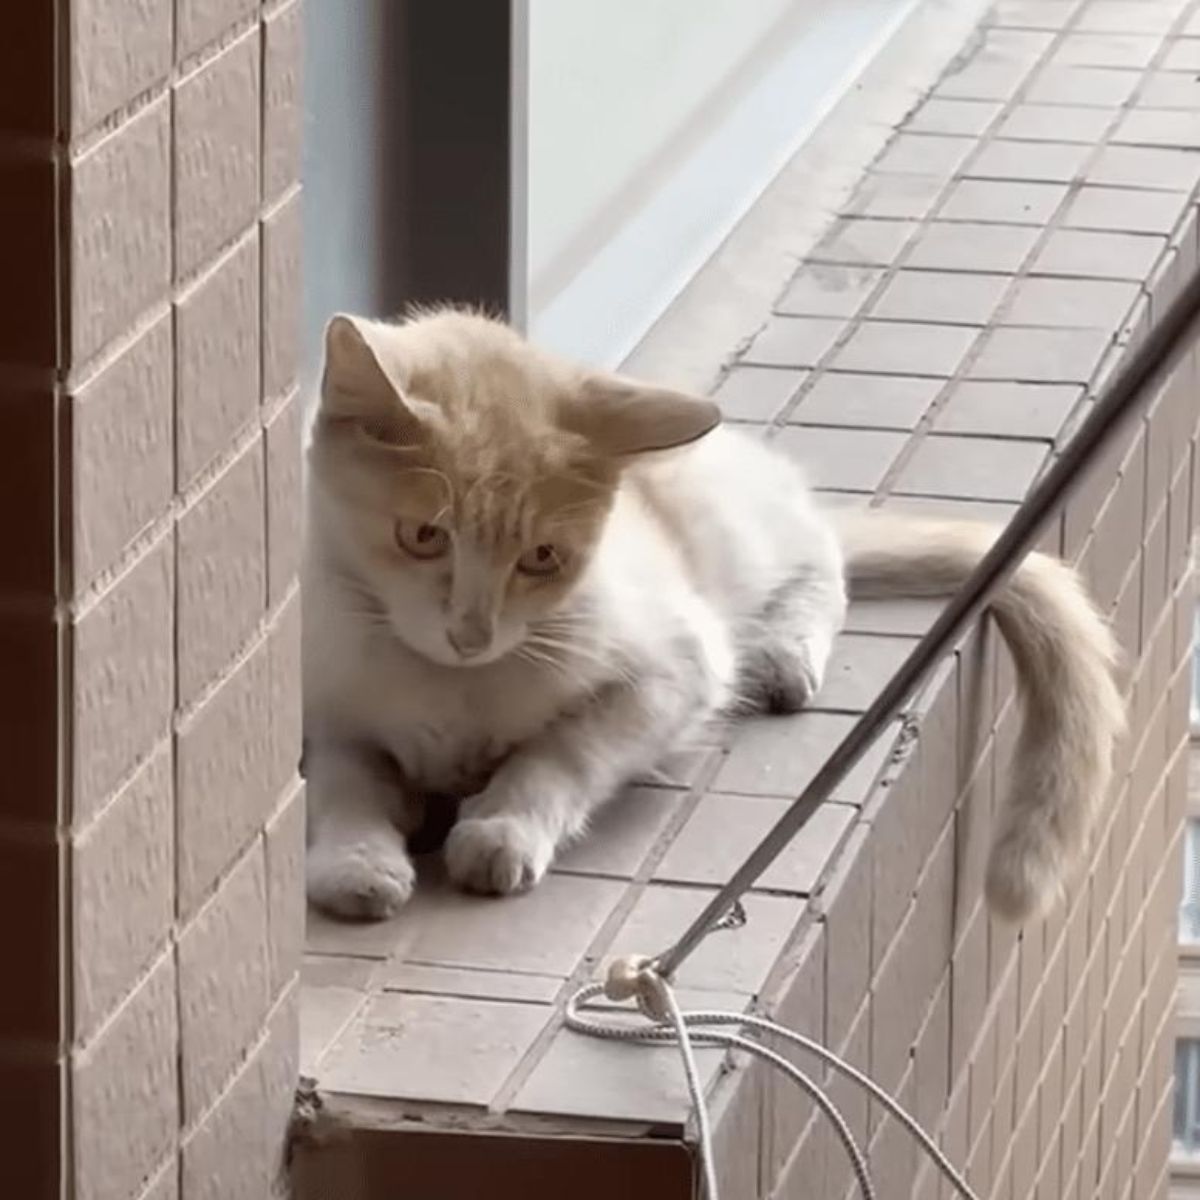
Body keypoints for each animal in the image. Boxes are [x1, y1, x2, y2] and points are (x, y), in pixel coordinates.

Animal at [300, 304, 1123, 921]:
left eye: (542, 558)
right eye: (422, 536)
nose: (471, 633)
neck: (443, 681)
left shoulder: (675, 668)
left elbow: (566, 749)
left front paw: (504, 825)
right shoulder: (327, 705)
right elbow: (344, 779)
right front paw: (354, 856)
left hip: (740, 533)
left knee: (822, 555)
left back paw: (785, 649)